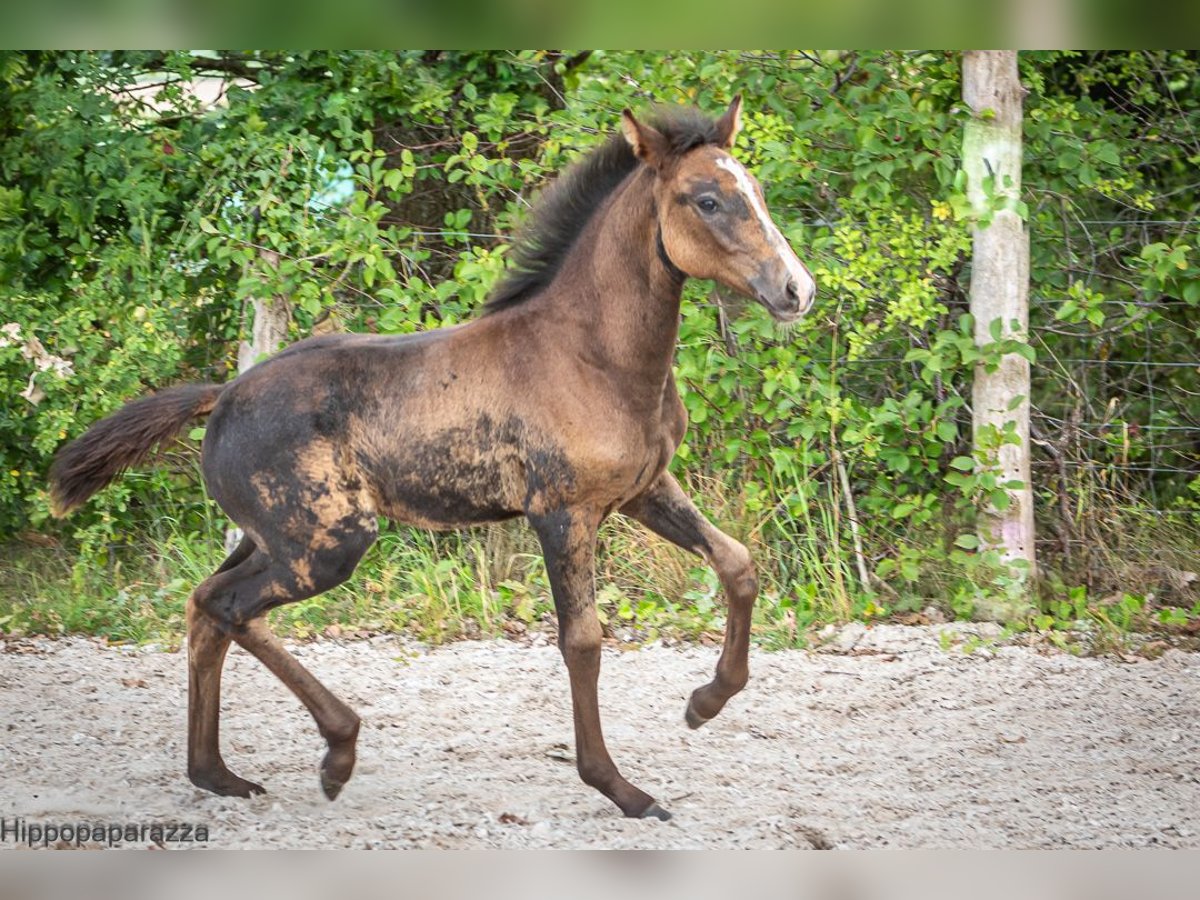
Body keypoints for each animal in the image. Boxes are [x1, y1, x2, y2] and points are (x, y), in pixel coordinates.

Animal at [46, 95, 816, 820]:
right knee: (229, 607)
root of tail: (223, 393)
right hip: (326, 543)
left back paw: (218, 774)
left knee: (206, 607)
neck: (594, 354)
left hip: (273, 536)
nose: (797, 290)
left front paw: (703, 703)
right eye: (706, 199)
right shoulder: (562, 513)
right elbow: (584, 642)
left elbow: (738, 564)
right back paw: (336, 751)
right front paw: (620, 788)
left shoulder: (642, 489)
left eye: (756, 190)